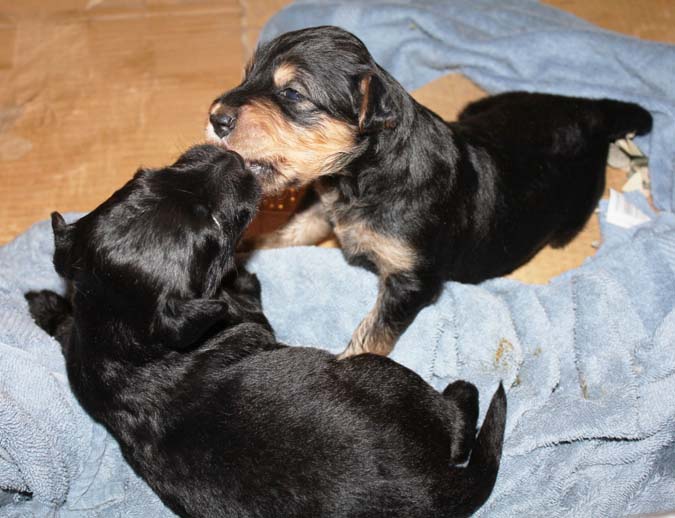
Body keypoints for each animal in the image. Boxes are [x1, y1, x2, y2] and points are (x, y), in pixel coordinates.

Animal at [25, 145, 508, 518]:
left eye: (152, 173)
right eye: (213, 228)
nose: (230, 155)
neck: (123, 339)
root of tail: (434, 492)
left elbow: (68, 318)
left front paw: (45, 302)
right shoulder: (246, 320)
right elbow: (248, 301)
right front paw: (241, 275)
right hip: (385, 377)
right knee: (459, 422)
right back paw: (460, 391)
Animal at [206, 24, 656, 358]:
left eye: (292, 93)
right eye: (248, 75)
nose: (215, 117)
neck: (362, 177)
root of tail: (591, 112)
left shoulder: (412, 279)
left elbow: (372, 334)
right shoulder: (322, 210)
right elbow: (280, 234)